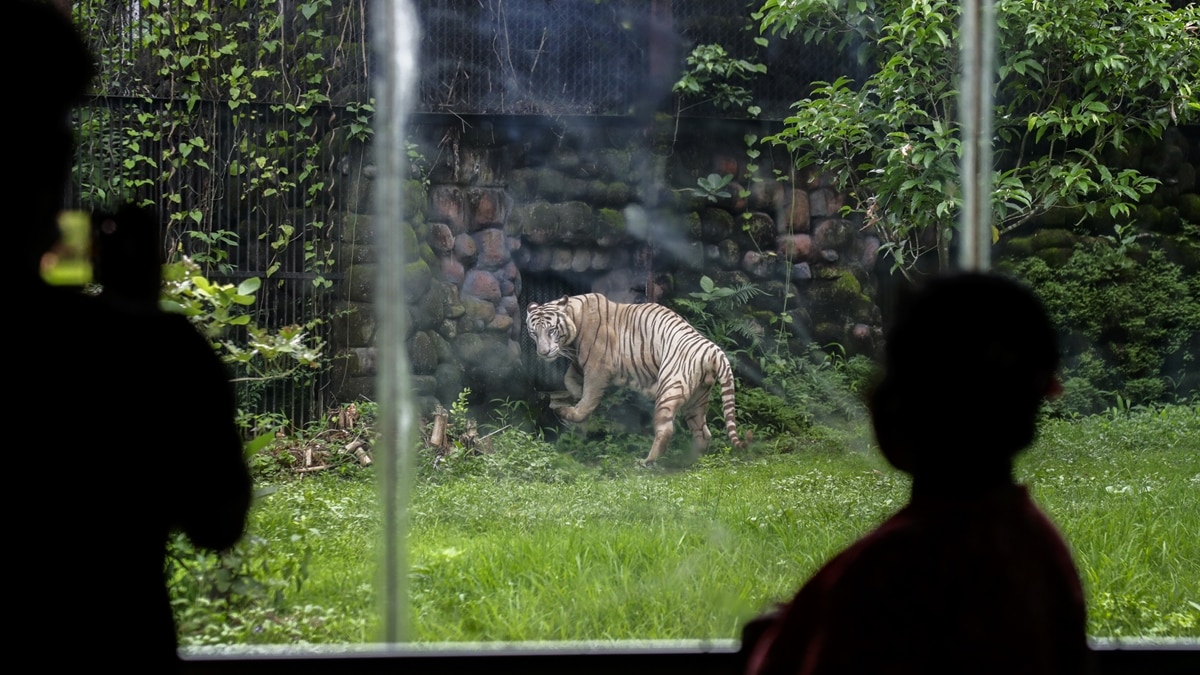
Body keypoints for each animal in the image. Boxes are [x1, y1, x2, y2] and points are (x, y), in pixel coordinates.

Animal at [525, 292, 747, 464]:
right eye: (534, 333)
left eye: (551, 330)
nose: (543, 352)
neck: (575, 317)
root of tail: (712, 350)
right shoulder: (580, 364)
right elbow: (568, 379)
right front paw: (575, 392)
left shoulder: (597, 368)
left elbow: (587, 401)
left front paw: (572, 410)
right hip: (697, 399)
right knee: (703, 432)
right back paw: (693, 459)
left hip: (669, 388)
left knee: (666, 429)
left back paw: (647, 461)